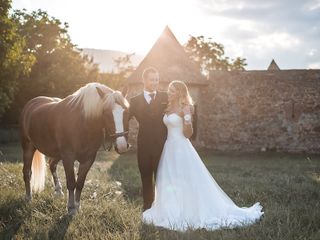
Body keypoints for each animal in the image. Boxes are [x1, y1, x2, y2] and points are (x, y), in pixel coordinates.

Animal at [20, 82, 129, 214]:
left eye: (127, 111)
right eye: (106, 112)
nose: (122, 146)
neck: (82, 123)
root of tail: (31, 103)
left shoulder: (88, 159)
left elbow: (80, 183)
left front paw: (77, 206)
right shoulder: (68, 157)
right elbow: (71, 182)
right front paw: (71, 208)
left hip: (57, 153)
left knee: (52, 165)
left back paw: (58, 191)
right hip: (28, 147)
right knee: (27, 172)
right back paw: (28, 197)